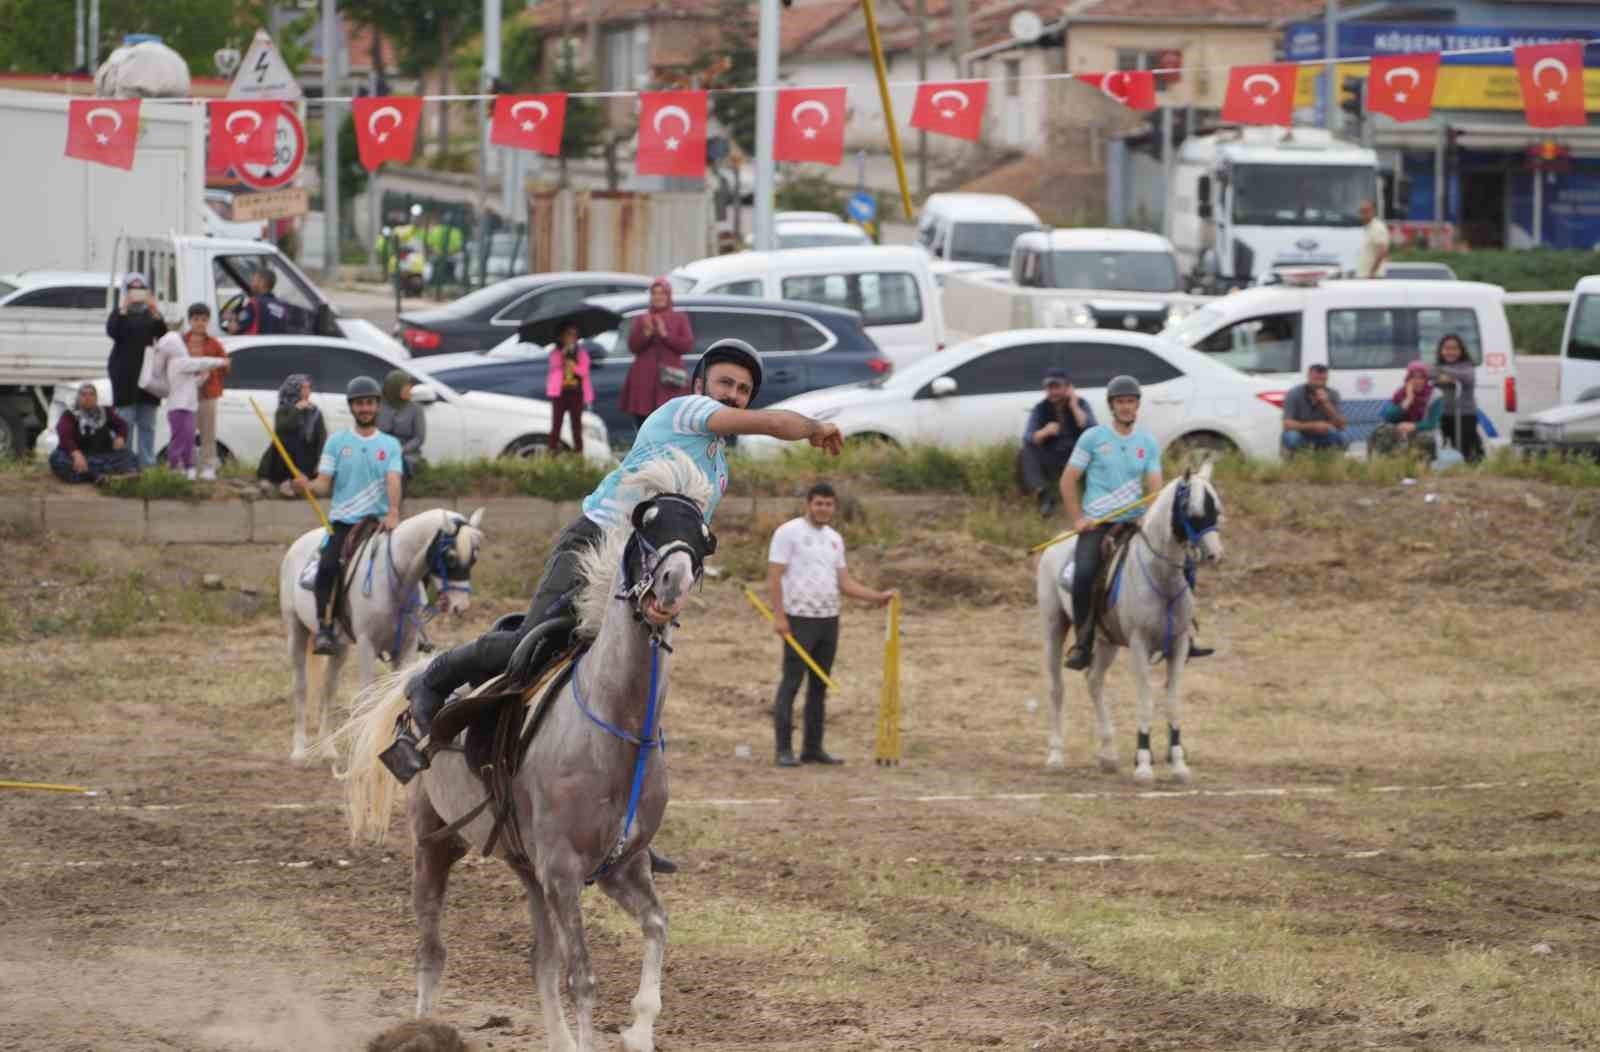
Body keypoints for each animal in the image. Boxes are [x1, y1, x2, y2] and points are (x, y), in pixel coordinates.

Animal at [278, 505, 483, 757]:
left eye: (474, 556)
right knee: (301, 687)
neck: (395, 580)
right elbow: (367, 697)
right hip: (296, 631)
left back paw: (327, 749)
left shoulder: (406, 647)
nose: (460, 606)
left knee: (329, 689)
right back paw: (299, 750)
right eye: (450, 556)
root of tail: (298, 543)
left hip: (339, 646)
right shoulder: (367, 646)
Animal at [337, 450, 713, 1048]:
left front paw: (638, 1029)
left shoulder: (622, 868)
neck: (614, 729)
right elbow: (582, 976)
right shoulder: (564, 872)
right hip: (433, 844)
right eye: (646, 525)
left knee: (541, 961)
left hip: (527, 869)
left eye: (702, 537)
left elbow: (656, 929)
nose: (672, 582)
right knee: (432, 952)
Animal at [1036, 463, 1222, 777]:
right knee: (1056, 688)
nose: (1215, 554)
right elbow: (1146, 700)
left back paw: (1108, 754)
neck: (1161, 576)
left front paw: (1178, 763)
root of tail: (1055, 544)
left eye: (1217, 510)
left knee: (1094, 681)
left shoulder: (1179, 645)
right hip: (1053, 626)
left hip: (1105, 640)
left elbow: (1173, 702)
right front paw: (1144, 763)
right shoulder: (1139, 645)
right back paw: (1055, 755)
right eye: (1195, 512)